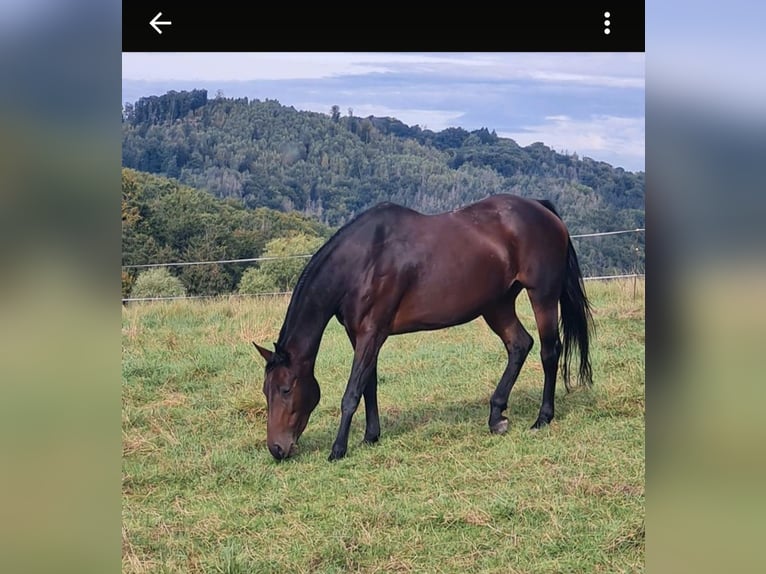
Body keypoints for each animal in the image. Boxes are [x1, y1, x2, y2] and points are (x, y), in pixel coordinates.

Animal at [253, 193, 594, 461]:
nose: (277, 449)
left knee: (549, 352)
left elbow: (352, 392)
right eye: (265, 390)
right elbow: (369, 384)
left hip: (542, 296)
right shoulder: (361, 335)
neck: (363, 260)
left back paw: (542, 418)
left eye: (286, 389)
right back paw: (496, 415)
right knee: (520, 345)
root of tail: (543, 210)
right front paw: (371, 436)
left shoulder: (371, 333)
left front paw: (338, 449)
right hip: (497, 305)